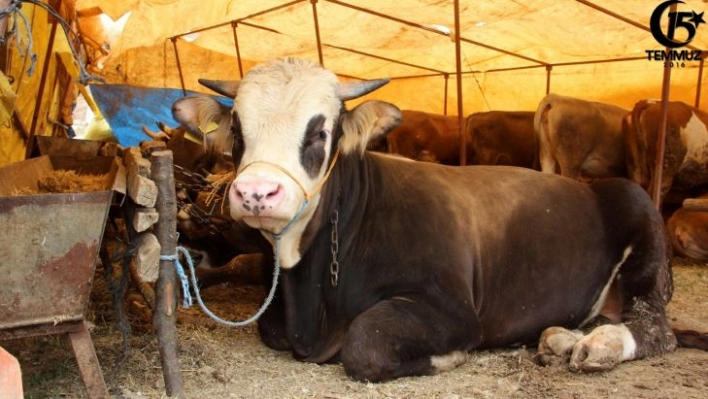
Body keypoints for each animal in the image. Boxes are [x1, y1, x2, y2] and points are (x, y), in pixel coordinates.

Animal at [171, 58, 696, 384]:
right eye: (237, 128)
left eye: (321, 130)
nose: (256, 192)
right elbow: (270, 329)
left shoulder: (453, 309)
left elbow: (365, 342)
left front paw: (447, 357)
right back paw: (562, 339)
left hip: (640, 227)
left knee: (656, 329)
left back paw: (598, 346)